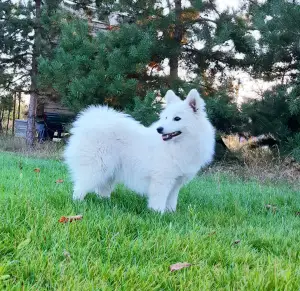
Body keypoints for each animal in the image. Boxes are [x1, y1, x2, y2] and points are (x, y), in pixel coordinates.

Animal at [64, 88, 216, 213]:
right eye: (166, 117)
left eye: (177, 118)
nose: (159, 129)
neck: (177, 146)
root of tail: (91, 123)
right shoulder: (162, 180)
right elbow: (159, 200)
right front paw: (158, 214)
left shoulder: (176, 182)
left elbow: (172, 201)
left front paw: (171, 214)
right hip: (97, 169)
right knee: (79, 188)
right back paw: (79, 203)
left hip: (109, 172)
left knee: (101, 190)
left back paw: (106, 203)